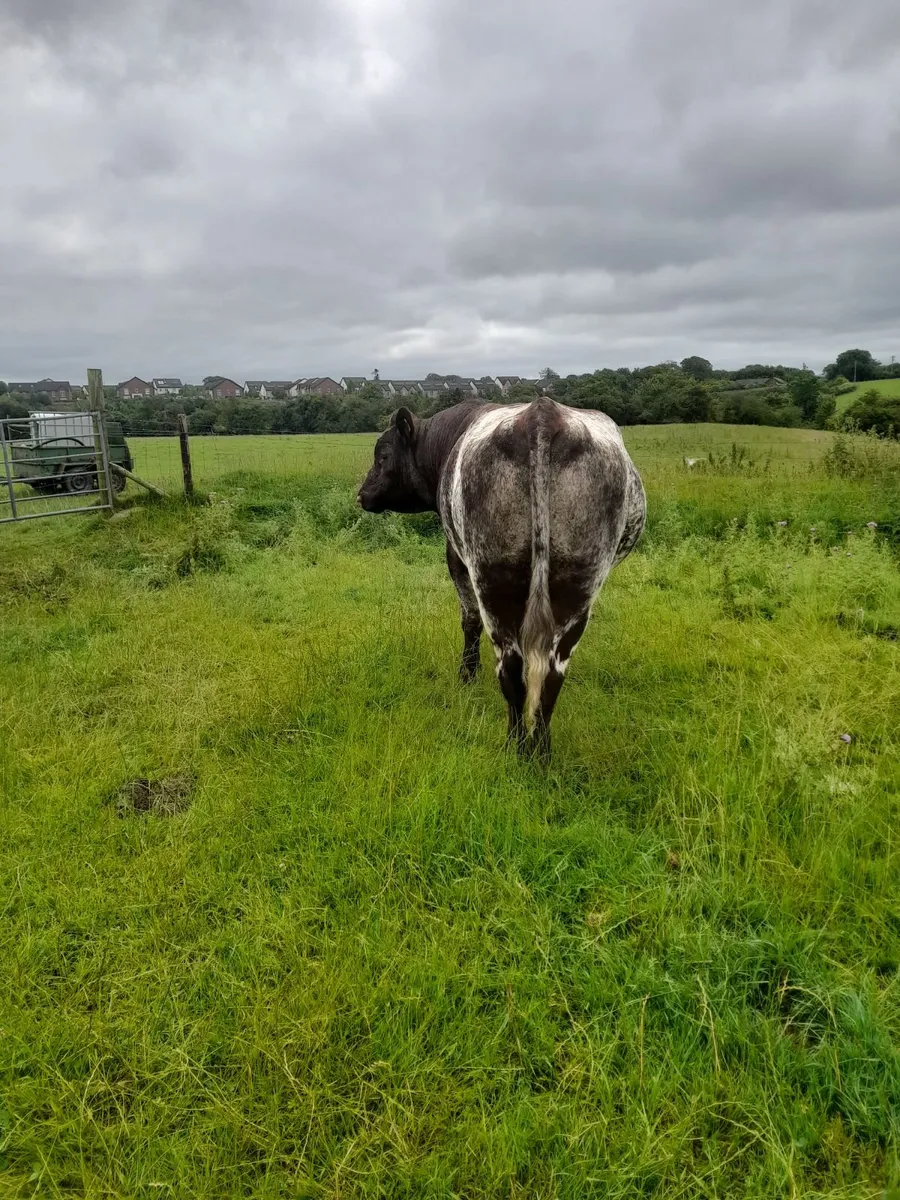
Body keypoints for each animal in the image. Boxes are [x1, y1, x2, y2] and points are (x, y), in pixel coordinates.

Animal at [357, 398, 646, 759]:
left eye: (382, 455)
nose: (361, 494)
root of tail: (541, 414)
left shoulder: (456, 556)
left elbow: (468, 620)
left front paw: (467, 676)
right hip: (579, 582)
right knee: (551, 675)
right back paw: (540, 752)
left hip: (492, 577)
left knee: (510, 666)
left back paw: (516, 746)